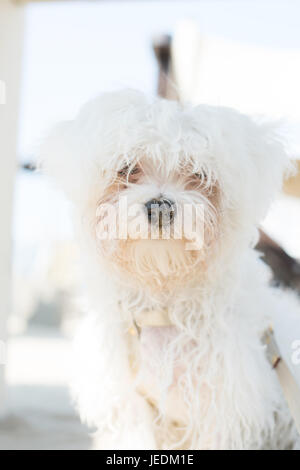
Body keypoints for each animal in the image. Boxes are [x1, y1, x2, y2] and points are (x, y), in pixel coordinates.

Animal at [41, 90, 300, 450]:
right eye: (127, 168)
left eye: (199, 174)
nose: (159, 207)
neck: (164, 308)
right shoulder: (130, 405)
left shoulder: (223, 409)